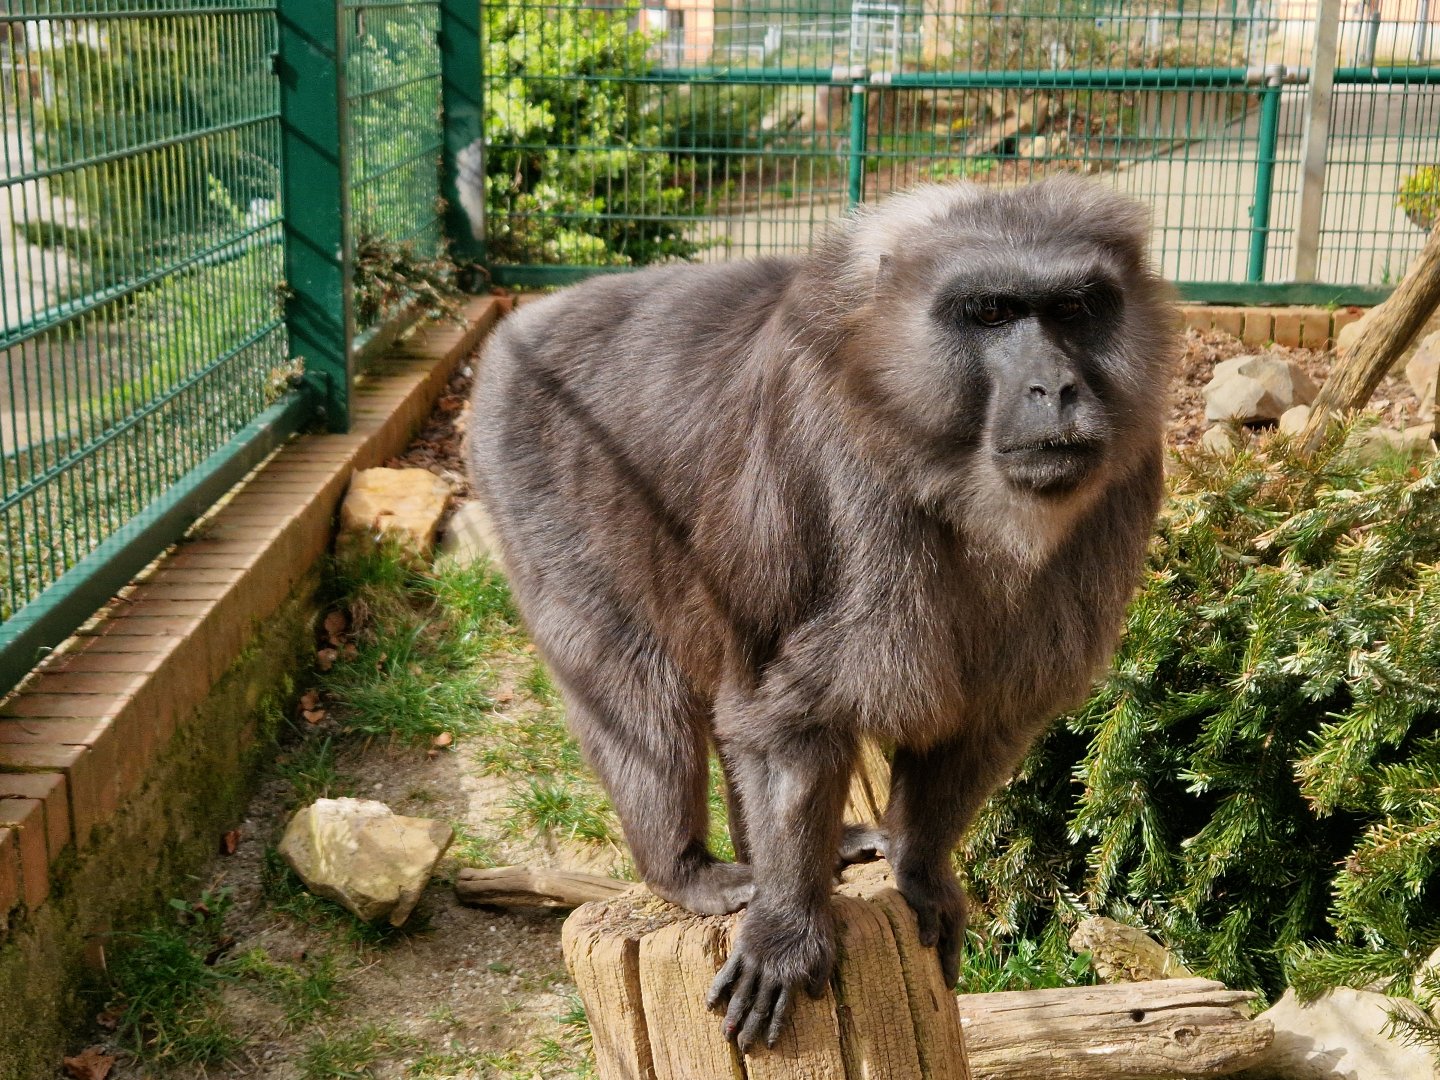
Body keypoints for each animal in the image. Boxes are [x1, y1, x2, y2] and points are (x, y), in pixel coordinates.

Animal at [466, 177, 1177, 1051]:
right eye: (990, 313)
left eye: (1075, 309)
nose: (1057, 387)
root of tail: (522, 325)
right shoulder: (828, 466)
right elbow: (785, 714)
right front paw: (788, 926)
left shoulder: (1125, 482)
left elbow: (984, 714)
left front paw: (917, 867)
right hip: (529, 473)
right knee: (637, 686)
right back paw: (685, 872)